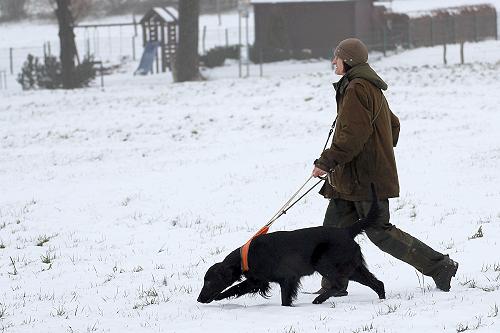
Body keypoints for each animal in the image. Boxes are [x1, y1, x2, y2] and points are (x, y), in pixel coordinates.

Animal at [197, 184, 384, 306]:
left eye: (209, 282)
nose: (199, 298)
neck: (247, 256)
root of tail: (346, 231)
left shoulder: (271, 280)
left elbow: (236, 287)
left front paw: (219, 296)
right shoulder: (280, 280)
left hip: (325, 263)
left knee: (338, 285)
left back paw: (319, 299)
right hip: (354, 268)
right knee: (377, 282)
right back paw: (382, 298)